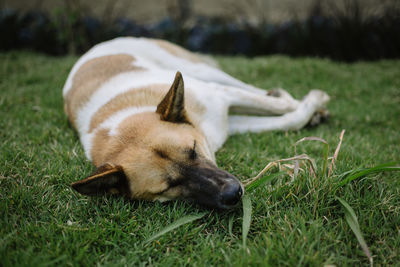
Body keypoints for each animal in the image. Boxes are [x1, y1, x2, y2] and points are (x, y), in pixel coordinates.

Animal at [64, 37, 330, 209]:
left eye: (192, 150)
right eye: (170, 185)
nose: (234, 194)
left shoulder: (221, 96)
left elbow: (287, 110)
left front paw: (313, 100)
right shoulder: (228, 123)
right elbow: (286, 119)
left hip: (203, 72)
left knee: (253, 89)